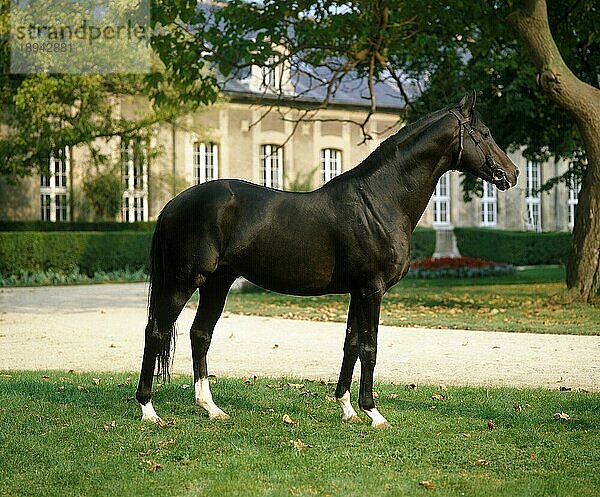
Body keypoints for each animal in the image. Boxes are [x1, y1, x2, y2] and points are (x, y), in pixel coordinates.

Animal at [137, 92, 520, 426]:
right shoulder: (371, 289)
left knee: (200, 334)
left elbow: (350, 344)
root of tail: (175, 203)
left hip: (217, 283)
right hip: (182, 282)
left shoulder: (357, 291)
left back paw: (211, 408)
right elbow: (369, 346)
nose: (513, 173)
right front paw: (373, 413)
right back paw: (148, 410)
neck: (378, 201)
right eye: (485, 133)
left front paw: (347, 409)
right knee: (155, 332)